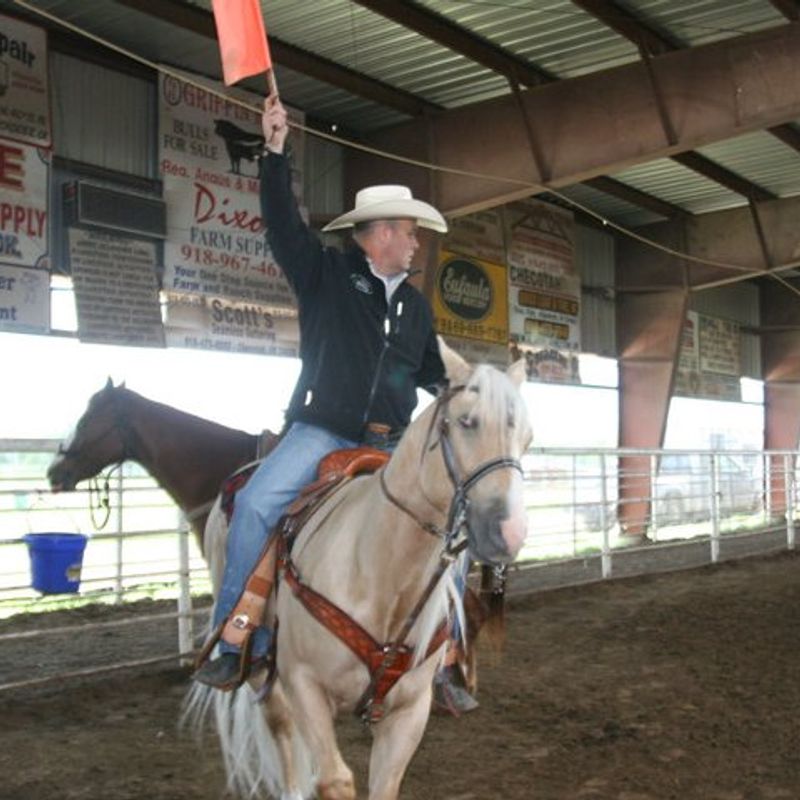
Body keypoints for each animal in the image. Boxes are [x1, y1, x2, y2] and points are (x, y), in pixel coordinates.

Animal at [191, 348, 532, 800]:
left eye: (528, 437)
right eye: (466, 421)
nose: (508, 533)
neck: (381, 573)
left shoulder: (409, 712)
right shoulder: (304, 685)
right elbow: (334, 780)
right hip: (260, 661)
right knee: (279, 724)